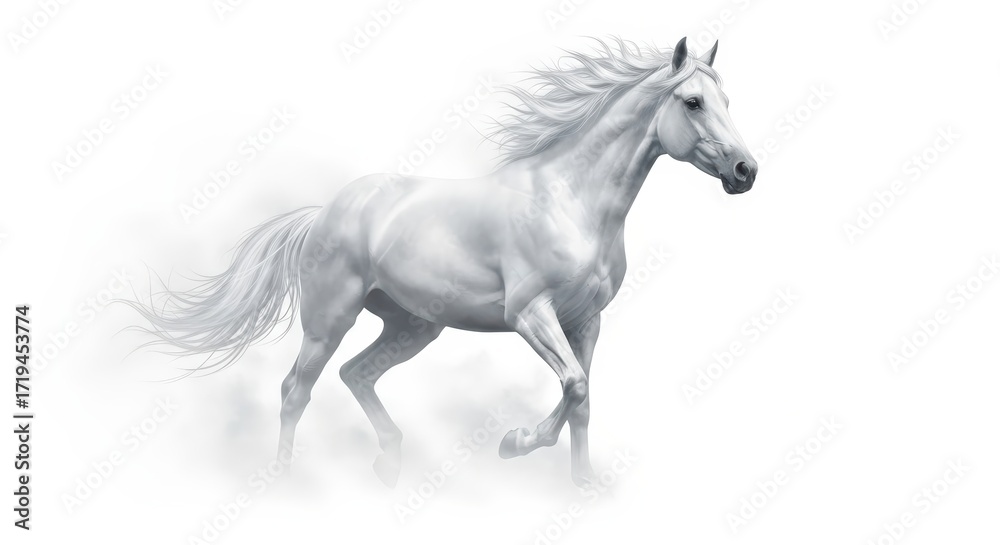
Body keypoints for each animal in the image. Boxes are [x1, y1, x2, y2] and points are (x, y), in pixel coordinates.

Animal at [128, 36, 757, 488]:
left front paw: (580, 480)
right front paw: (517, 444)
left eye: (728, 101)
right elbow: (575, 386)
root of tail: (324, 212)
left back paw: (388, 466)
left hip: (413, 326)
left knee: (356, 374)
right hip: (330, 318)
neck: (569, 200)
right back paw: (282, 480)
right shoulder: (531, 314)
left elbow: (581, 395)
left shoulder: (587, 321)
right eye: (693, 102)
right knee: (294, 390)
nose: (745, 171)